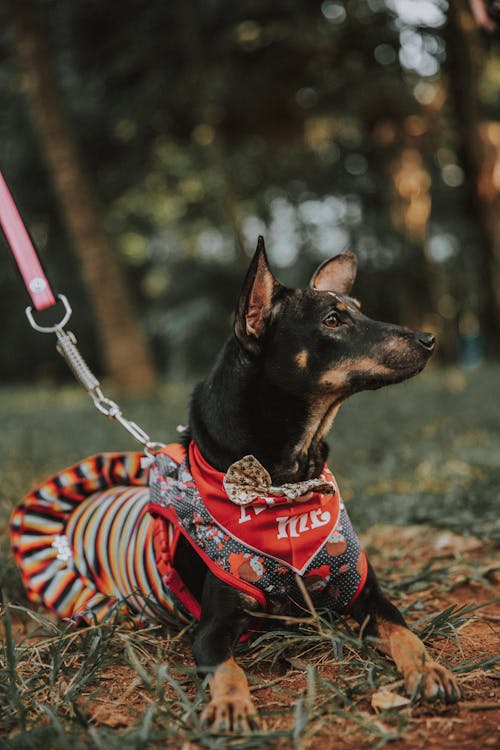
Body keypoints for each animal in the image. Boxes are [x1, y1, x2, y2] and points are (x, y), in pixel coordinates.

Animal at [9, 239, 460, 736]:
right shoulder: (212, 629)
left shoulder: (365, 595)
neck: (285, 490)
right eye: (332, 320)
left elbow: (406, 633)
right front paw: (231, 704)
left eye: (359, 309)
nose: (429, 339)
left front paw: (429, 670)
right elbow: (228, 668)